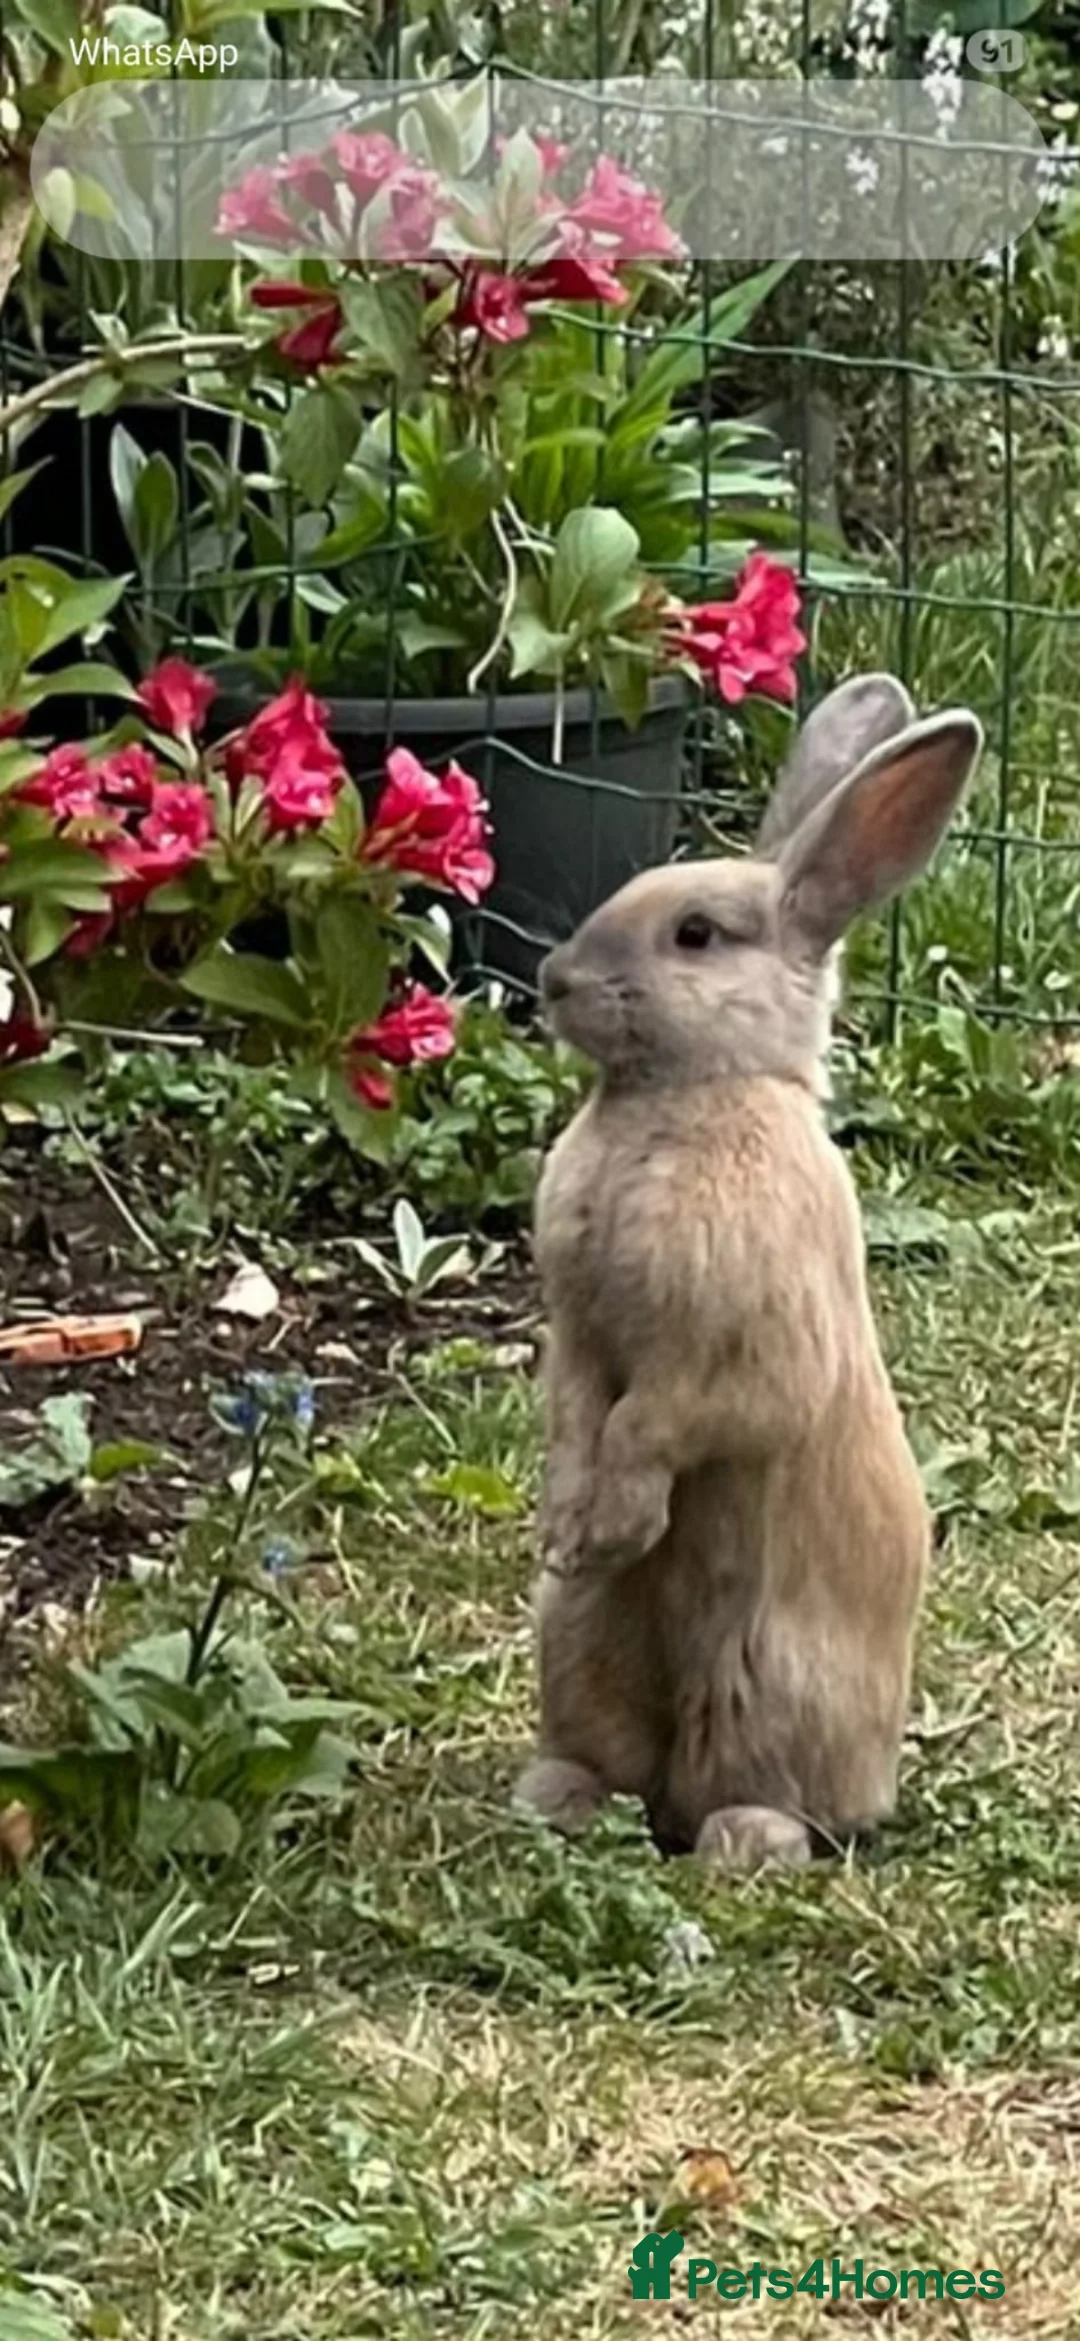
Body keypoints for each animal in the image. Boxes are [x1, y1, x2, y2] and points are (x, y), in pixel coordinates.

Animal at [514, 675, 983, 1871]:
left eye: (695, 935)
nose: (553, 979)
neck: (689, 1095)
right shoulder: (580, 1334)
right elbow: (581, 1412)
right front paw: (570, 1523)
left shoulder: (739, 1355)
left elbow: (661, 1421)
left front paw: (619, 1523)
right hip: (576, 1640)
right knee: (613, 1760)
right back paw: (553, 1798)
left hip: (773, 1682)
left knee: (769, 1796)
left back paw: (740, 1844)